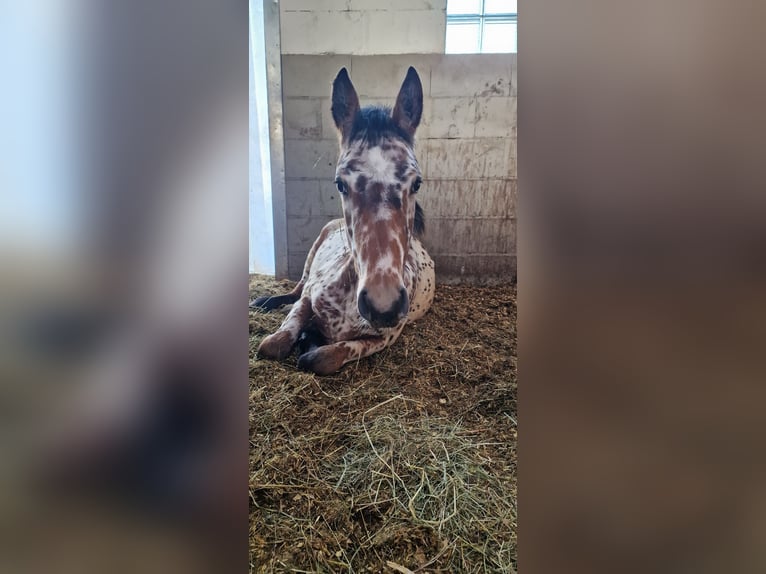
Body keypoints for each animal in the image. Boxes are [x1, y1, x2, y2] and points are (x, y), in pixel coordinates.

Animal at [252, 66, 432, 378]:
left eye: (417, 183)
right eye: (340, 183)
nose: (382, 305)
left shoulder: (384, 338)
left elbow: (323, 358)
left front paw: (309, 342)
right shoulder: (308, 297)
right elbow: (273, 344)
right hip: (312, 254)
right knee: (295, 288)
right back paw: (264, 302)